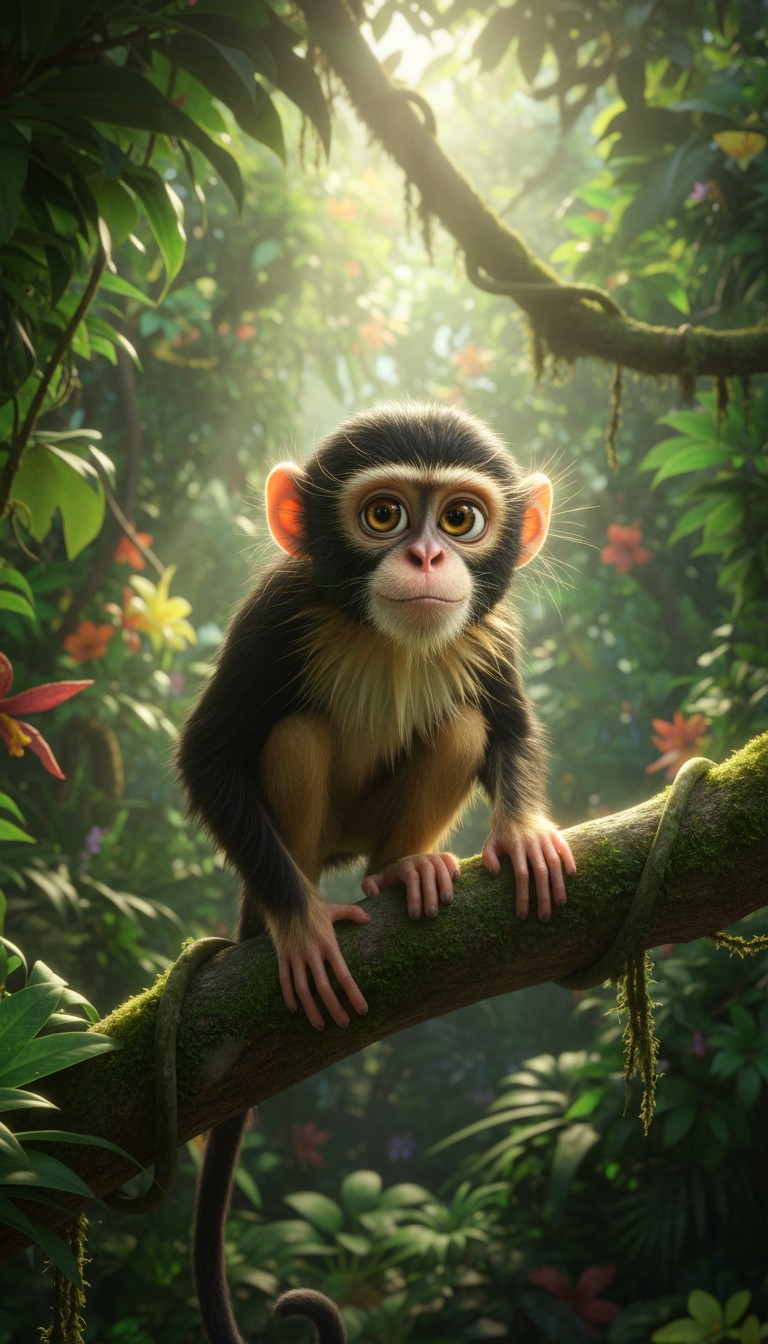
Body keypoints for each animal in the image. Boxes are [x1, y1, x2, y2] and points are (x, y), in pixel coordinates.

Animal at [176, 402, 576, 1343]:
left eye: (460, 519)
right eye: (385, 514)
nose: (427, 557)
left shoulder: (494, 628)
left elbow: (507, 726)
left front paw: (525, 832)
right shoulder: (273, 615)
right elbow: (208, 756)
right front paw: (303, 928)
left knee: (462, 720)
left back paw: (405, 872)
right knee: (296, 736)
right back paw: (292, 909)